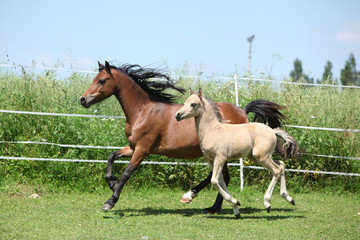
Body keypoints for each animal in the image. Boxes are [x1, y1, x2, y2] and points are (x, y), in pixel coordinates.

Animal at [79, 61, 286, 212]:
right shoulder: (133, 147)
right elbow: (111, 156)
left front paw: (110, 200)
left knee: (221, 177)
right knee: (221, 177)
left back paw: (198, 199)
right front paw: (111, 183)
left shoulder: (143, 150)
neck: (142, 111)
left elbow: (127, 173)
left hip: (223, 154)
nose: (82, 99)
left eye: (102, 80)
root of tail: (242, 111)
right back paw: (211, 205)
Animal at [175, 88, 298, 219]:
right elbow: (221, 182)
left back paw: (267, 203)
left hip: (261, 157)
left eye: (193, 104)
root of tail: (273, 131)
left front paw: (235, 202)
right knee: (281, 164)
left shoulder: (220, 158)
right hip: (257, 157)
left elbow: (214, 181)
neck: (212, 130)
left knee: (276, 170)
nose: (177, 115)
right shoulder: (211, 160)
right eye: (185, 102)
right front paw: (236, 208)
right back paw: (288, 197)